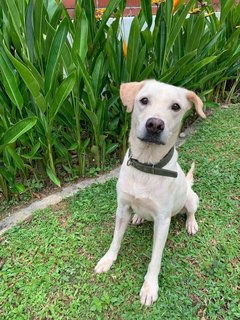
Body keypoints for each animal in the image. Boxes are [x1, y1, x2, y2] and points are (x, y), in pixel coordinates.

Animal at [94, 79, 206, 304]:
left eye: (176, 106)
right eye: (144, 100)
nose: (155, 124)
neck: (146, 165)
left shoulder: (163, 221)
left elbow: (155, 258)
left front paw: (150, 287)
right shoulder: (122, 208)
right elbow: (115, 239)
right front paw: (108, 259)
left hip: (191, 198)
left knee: (191, 211)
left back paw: (191, 223)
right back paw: (138, 217)